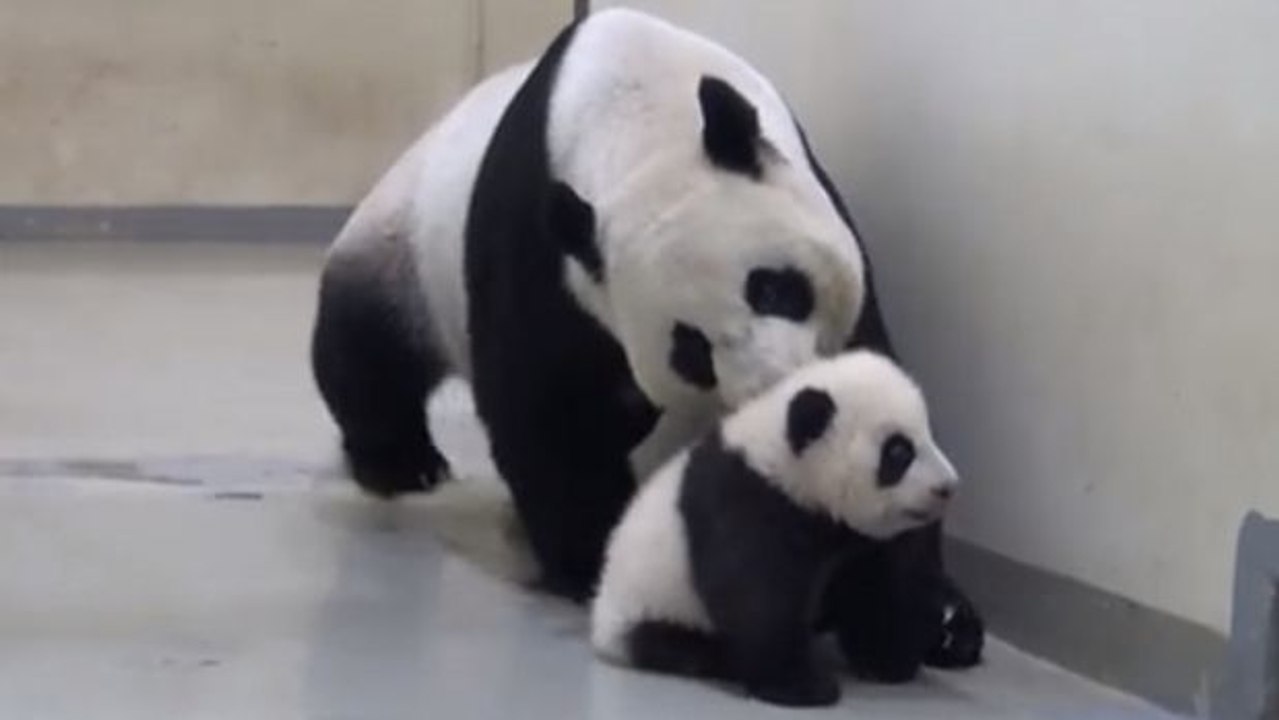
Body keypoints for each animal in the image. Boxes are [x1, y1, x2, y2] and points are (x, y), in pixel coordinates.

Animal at [310, 7, 982, 667]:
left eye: (771, 288)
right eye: (691, 348)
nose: (771, 387)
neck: (636, 128)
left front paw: (923, 618)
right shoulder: (546, 258)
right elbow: (552, 414)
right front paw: (593, 561)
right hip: (403, 252)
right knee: (366, 350)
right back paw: (405, 465)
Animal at [591, 351, 959, 707]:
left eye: (930, 435)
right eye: (898, 451)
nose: (948, 488)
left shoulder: (855, 538)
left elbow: (879, 584)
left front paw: (887, 662)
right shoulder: (746, 502)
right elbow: (757, 598)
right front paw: (803, 687)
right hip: (646, 608)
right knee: (673, 644)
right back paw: (718, 659)